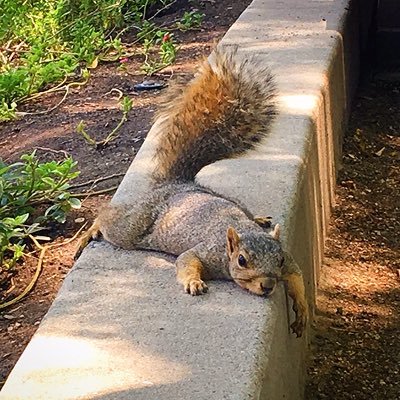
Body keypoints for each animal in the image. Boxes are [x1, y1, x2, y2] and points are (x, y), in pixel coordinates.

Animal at [78, 48, 310, 340]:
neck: (235, 240)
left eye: (278, 259)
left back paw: (258, 218)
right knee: (110, 217)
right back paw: (91, 230)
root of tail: (177, 183)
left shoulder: (288, 262)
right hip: (133, 225)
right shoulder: (205, 251)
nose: (268, 285)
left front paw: (301, 309)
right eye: (242, 260)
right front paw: (194, 283)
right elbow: (186, 260)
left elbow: (297, 278)